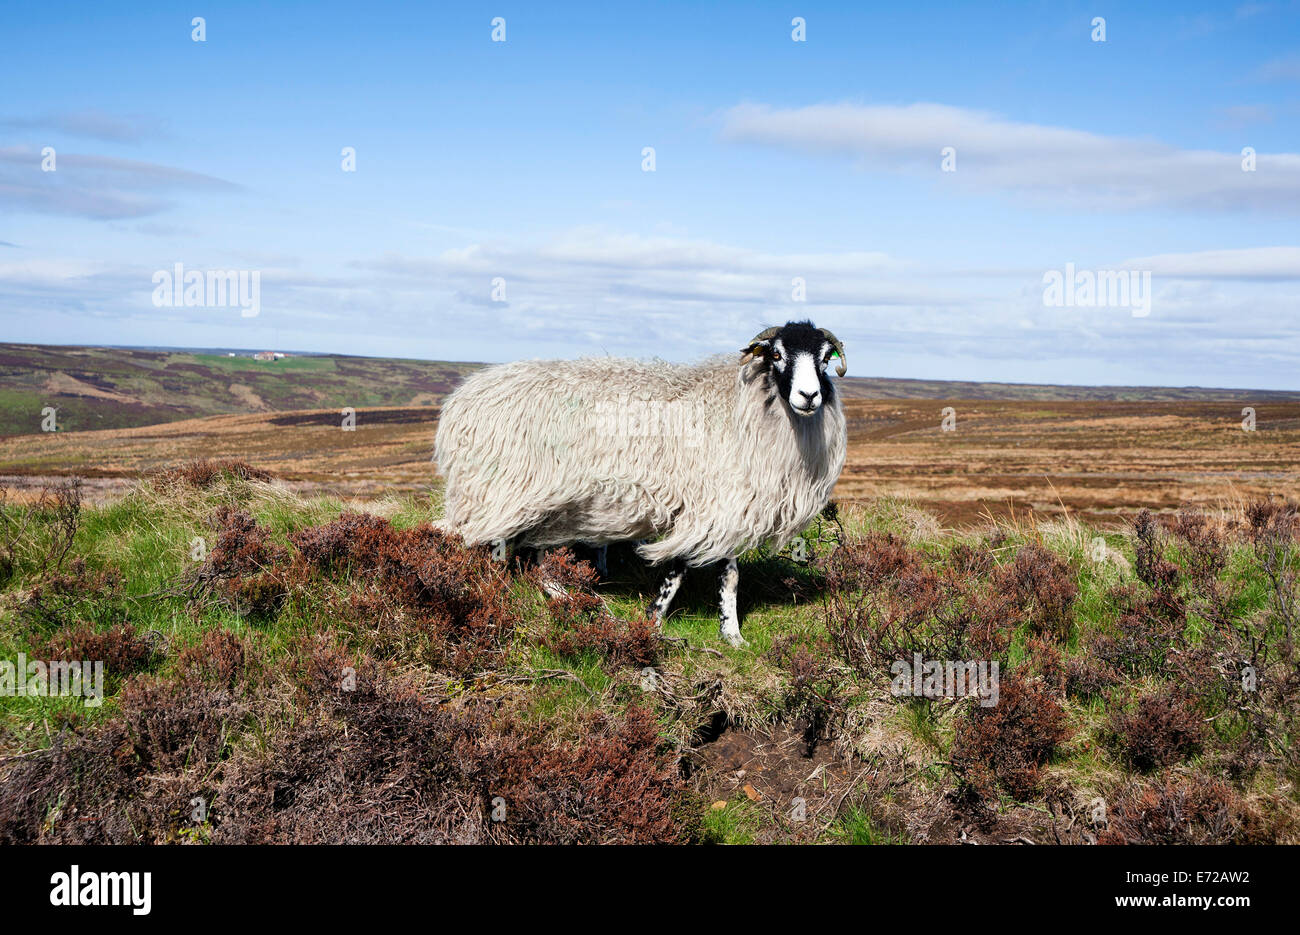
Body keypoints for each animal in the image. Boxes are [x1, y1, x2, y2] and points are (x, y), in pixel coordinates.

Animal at [431, 319, 847, 645]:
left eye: (825, 359)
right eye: (776, 355)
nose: (809, 395)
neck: (740, 406)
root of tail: (465, 397)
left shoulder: (722, 506)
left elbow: (724, 575)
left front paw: (730, 635)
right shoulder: (709, 505)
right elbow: (686, 571)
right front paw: (658, 621)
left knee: (534, 555)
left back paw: (567, 597)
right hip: (499, 491)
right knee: (490, 546)